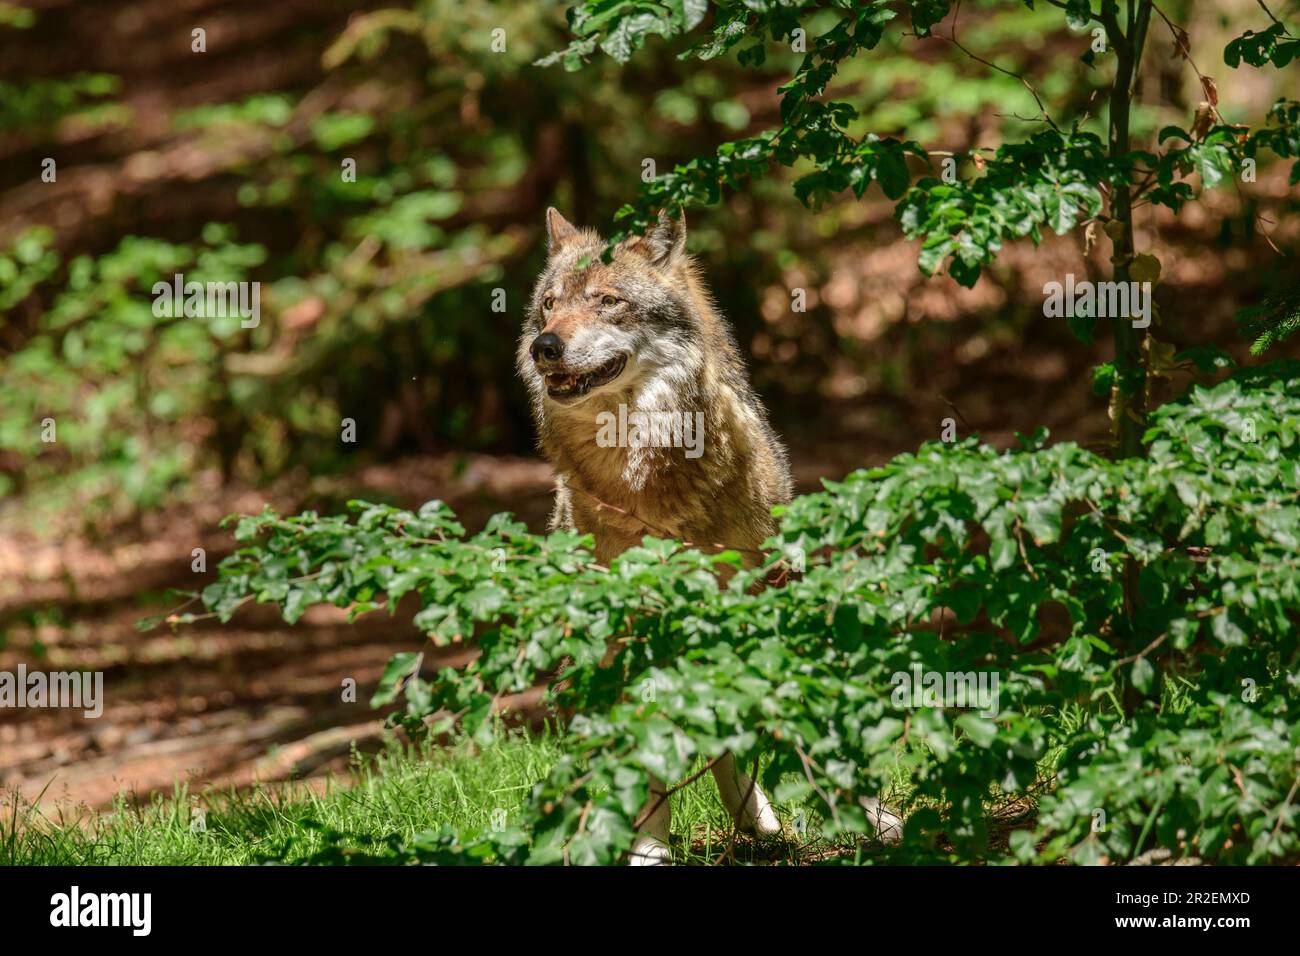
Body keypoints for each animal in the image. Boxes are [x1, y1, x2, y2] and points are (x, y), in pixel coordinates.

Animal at [518, 208, 900, 863]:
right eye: (549, 305)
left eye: (608, 301)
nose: (545, 347)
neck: (648, 476)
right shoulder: (630, 635)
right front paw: (648, 849)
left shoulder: (769, 600)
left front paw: (871, 816)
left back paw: (756, 820)